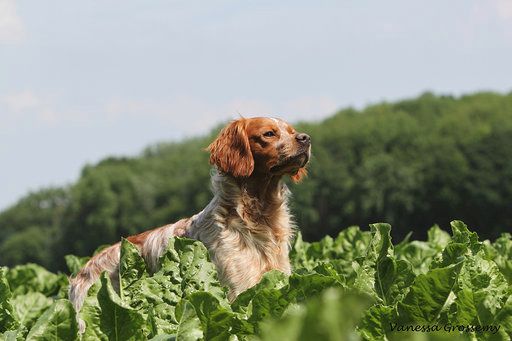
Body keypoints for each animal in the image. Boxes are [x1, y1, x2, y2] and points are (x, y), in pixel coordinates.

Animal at [69, 115, 310, 330]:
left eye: (291, 131)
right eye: (269, 133)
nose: (305, 138)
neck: (258, 218)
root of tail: (81, 272)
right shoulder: (238, 292)